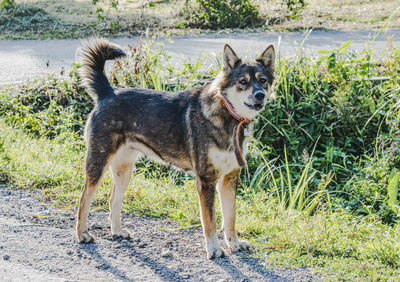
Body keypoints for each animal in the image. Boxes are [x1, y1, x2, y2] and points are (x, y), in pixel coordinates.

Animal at [75, 38, 276, 258]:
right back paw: (82, 234)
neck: (227, 114)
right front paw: (214, 249)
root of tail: (107, 93)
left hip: (124, 170)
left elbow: (230, 217)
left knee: (113, 201)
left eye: (262, 80)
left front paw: (234, 244)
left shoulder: (229, 178)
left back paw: (117, 231)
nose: (260, 95)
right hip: (98, 164)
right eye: (243, 82)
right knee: (83, 200)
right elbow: (210, 222)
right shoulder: (206, 180)